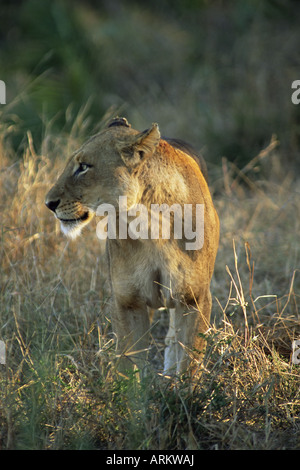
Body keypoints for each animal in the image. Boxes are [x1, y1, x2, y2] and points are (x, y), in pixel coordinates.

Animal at [45, 116, 219, 378]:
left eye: (84, 166)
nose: (49, 203)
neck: (151, 227)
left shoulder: (194, 298)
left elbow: (190, 363)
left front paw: (183, 388)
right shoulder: (127, 302)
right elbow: (128, 369)